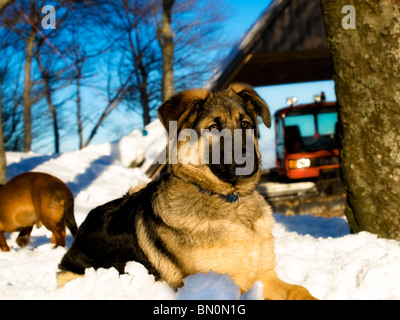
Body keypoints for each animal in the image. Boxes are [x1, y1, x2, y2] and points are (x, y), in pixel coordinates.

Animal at [57, 84, 318, 298]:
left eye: (245, 125)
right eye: (214, 127)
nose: (248, 157)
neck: (227, 199)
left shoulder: (265, 276)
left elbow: (301, 290)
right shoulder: (225, 285)